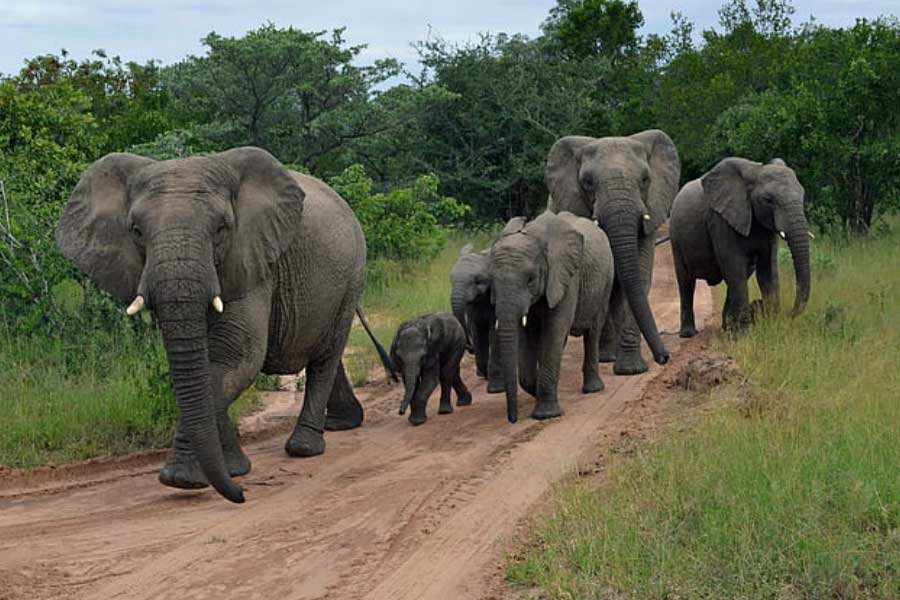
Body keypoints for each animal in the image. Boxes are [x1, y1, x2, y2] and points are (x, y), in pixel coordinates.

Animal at [56, 147, 394, 503]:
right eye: (135, 230)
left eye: (221, 229)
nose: (241, 496)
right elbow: (202, 369)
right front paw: (233, 470)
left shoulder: (251, 259)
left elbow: (236, 360)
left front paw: (182, 480)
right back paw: (343, 424)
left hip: (353, 273)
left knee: (326, 356)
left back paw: (304, 448)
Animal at [449, 217, 526, 393]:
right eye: (451, 280)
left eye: (478, 281)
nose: (468, 348)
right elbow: (478, 332)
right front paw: (484, 374)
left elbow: (494, 332)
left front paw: (496, 387)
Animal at [489, 211, 614, 423]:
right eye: (492, 281)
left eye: (530, 280)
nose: (512, 420)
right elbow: (526, 337)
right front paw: (536, 389)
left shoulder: (566, 277)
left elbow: (555, 329)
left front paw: (546, 415)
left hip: (606, 280)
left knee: (593, 332)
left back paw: (593, 389)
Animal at [545, 129, 680, 375]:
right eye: (587, 182)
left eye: (645, 180)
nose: (664, 357)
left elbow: (640, 274)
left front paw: (631, 370)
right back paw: (606, 356)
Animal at [669, 157, 811, 335]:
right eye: (768, 200)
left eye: (802, 194)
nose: (789, 314)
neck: (754, 173)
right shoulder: (720, 221)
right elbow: (734, 266)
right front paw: (745, 333)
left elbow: (767, 271)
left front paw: (771, 326)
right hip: (675, 237)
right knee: (686, 281)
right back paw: (688, 333)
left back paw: (726, 328)